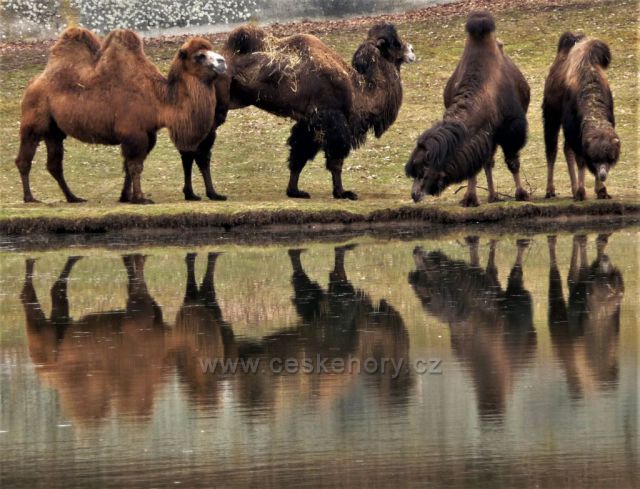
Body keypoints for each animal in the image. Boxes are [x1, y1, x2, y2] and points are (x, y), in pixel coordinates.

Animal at [13, 26, 230, 203]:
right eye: (199, 56)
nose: (223, 62)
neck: (158, 99)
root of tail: (32, 82)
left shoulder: (147, 134)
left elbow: (129, 166)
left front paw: (126, 197)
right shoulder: (134, 132)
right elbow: (135, 165)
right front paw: (140, 198)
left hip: (54, 130)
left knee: (54, 164)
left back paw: (73, 197)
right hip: (33, 118)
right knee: (25, 157)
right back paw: (30, 198)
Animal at [224, 21, 416, 199]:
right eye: (396, 43)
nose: (412, 51)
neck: (360, 90)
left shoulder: (309, 123)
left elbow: (299, 155)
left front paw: (295, 191)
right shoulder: (333, 121)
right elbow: (336, 161)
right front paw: (342, 193)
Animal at [404, 11, 528, 206]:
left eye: (424, 171)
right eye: (414, 172)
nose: (415, 195)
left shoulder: (512, 129)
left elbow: (512, 162)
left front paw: (521, 193)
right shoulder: (479, 136)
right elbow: (474, 165)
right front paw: (470, 198)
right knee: (488, 162)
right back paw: (492, 196)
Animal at [540, 33, 620, 199]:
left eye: (610, 157)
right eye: (595, 158)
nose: (603, 175)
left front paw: (601, 190)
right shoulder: (573, 128)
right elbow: (581, 160)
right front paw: (582, 192)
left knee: (566, 148)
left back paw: (573, 188)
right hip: (551, 114)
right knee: (552, 149)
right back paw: (550, 190)